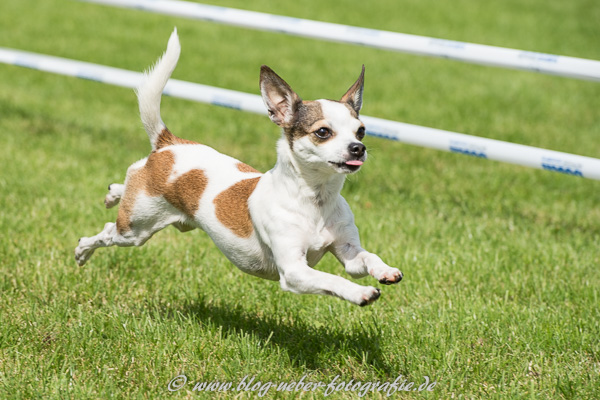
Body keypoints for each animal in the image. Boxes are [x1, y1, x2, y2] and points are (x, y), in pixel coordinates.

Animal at [76, 29, 404, 306]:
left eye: (361, 131)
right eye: (323, 132)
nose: (358, 148)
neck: (315, 201)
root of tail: (169, 143)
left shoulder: (348, 254)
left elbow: (366, 259)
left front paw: (386, 271)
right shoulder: (295, 272)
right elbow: (333, 280)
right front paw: (360, 293)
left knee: (123, 186)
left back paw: (112, 193)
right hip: (135, 230)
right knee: (107, 231)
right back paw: (82, 249)